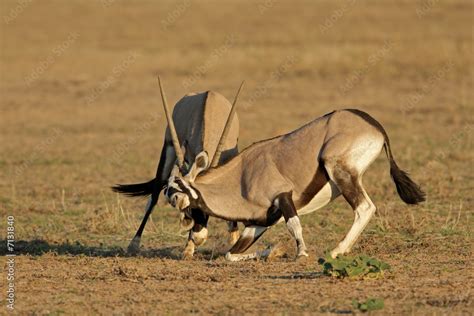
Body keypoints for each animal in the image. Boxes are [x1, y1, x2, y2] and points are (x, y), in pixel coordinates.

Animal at [112, 78, 243, 258]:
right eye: (192, 207)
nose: (199, 238)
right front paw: (188, 249)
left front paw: (233, 240)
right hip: (168, 149)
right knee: (153, 197)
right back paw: (134, 244)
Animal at [164, 109, 426, 262]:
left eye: (180, 192)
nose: (195, 236)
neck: (241, 177)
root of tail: (374, 125)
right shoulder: (260, 222)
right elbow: (230, 254)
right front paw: (274, 251)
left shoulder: (283, 196)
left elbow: (294, 225)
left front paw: (301, 253)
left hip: (338, 169)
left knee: (364, 208)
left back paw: (337, 250)